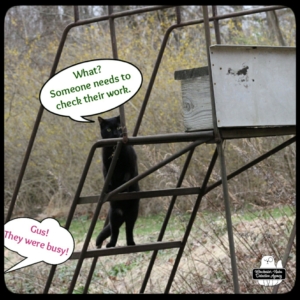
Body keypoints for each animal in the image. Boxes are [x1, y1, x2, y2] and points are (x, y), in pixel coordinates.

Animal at [95, 115, 140, 248]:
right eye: (109, 129)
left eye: (119, 127)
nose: (115, 133)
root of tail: (123, 213)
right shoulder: (106, 168)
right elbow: (108, 179)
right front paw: (110, 189)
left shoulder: (129, 165)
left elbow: (127, 177)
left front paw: (123, 188)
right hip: (114, 215)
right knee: (115, 231)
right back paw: (111, 244)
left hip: (132, 214)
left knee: (128, 229)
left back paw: (131, 243)